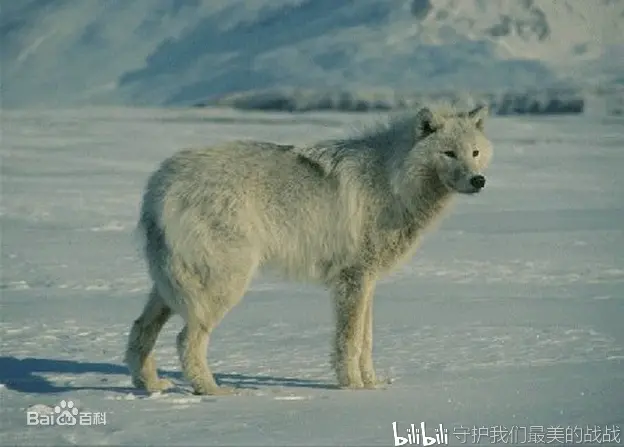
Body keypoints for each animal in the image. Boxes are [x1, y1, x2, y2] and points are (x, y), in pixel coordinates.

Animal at [125, 104, 492, 396]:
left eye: (474, 153)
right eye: (449, 153)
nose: (479, 181)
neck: (392, 178)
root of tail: (159, 185)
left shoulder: (367, 282)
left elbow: (366, 341)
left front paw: (372, 385)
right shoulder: (353, 280)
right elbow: (350, 341)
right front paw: (352, 387)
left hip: (171, 288)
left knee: (141, 329)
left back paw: (150, 385)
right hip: (222, 286)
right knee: (186, 340)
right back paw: (213, 391)